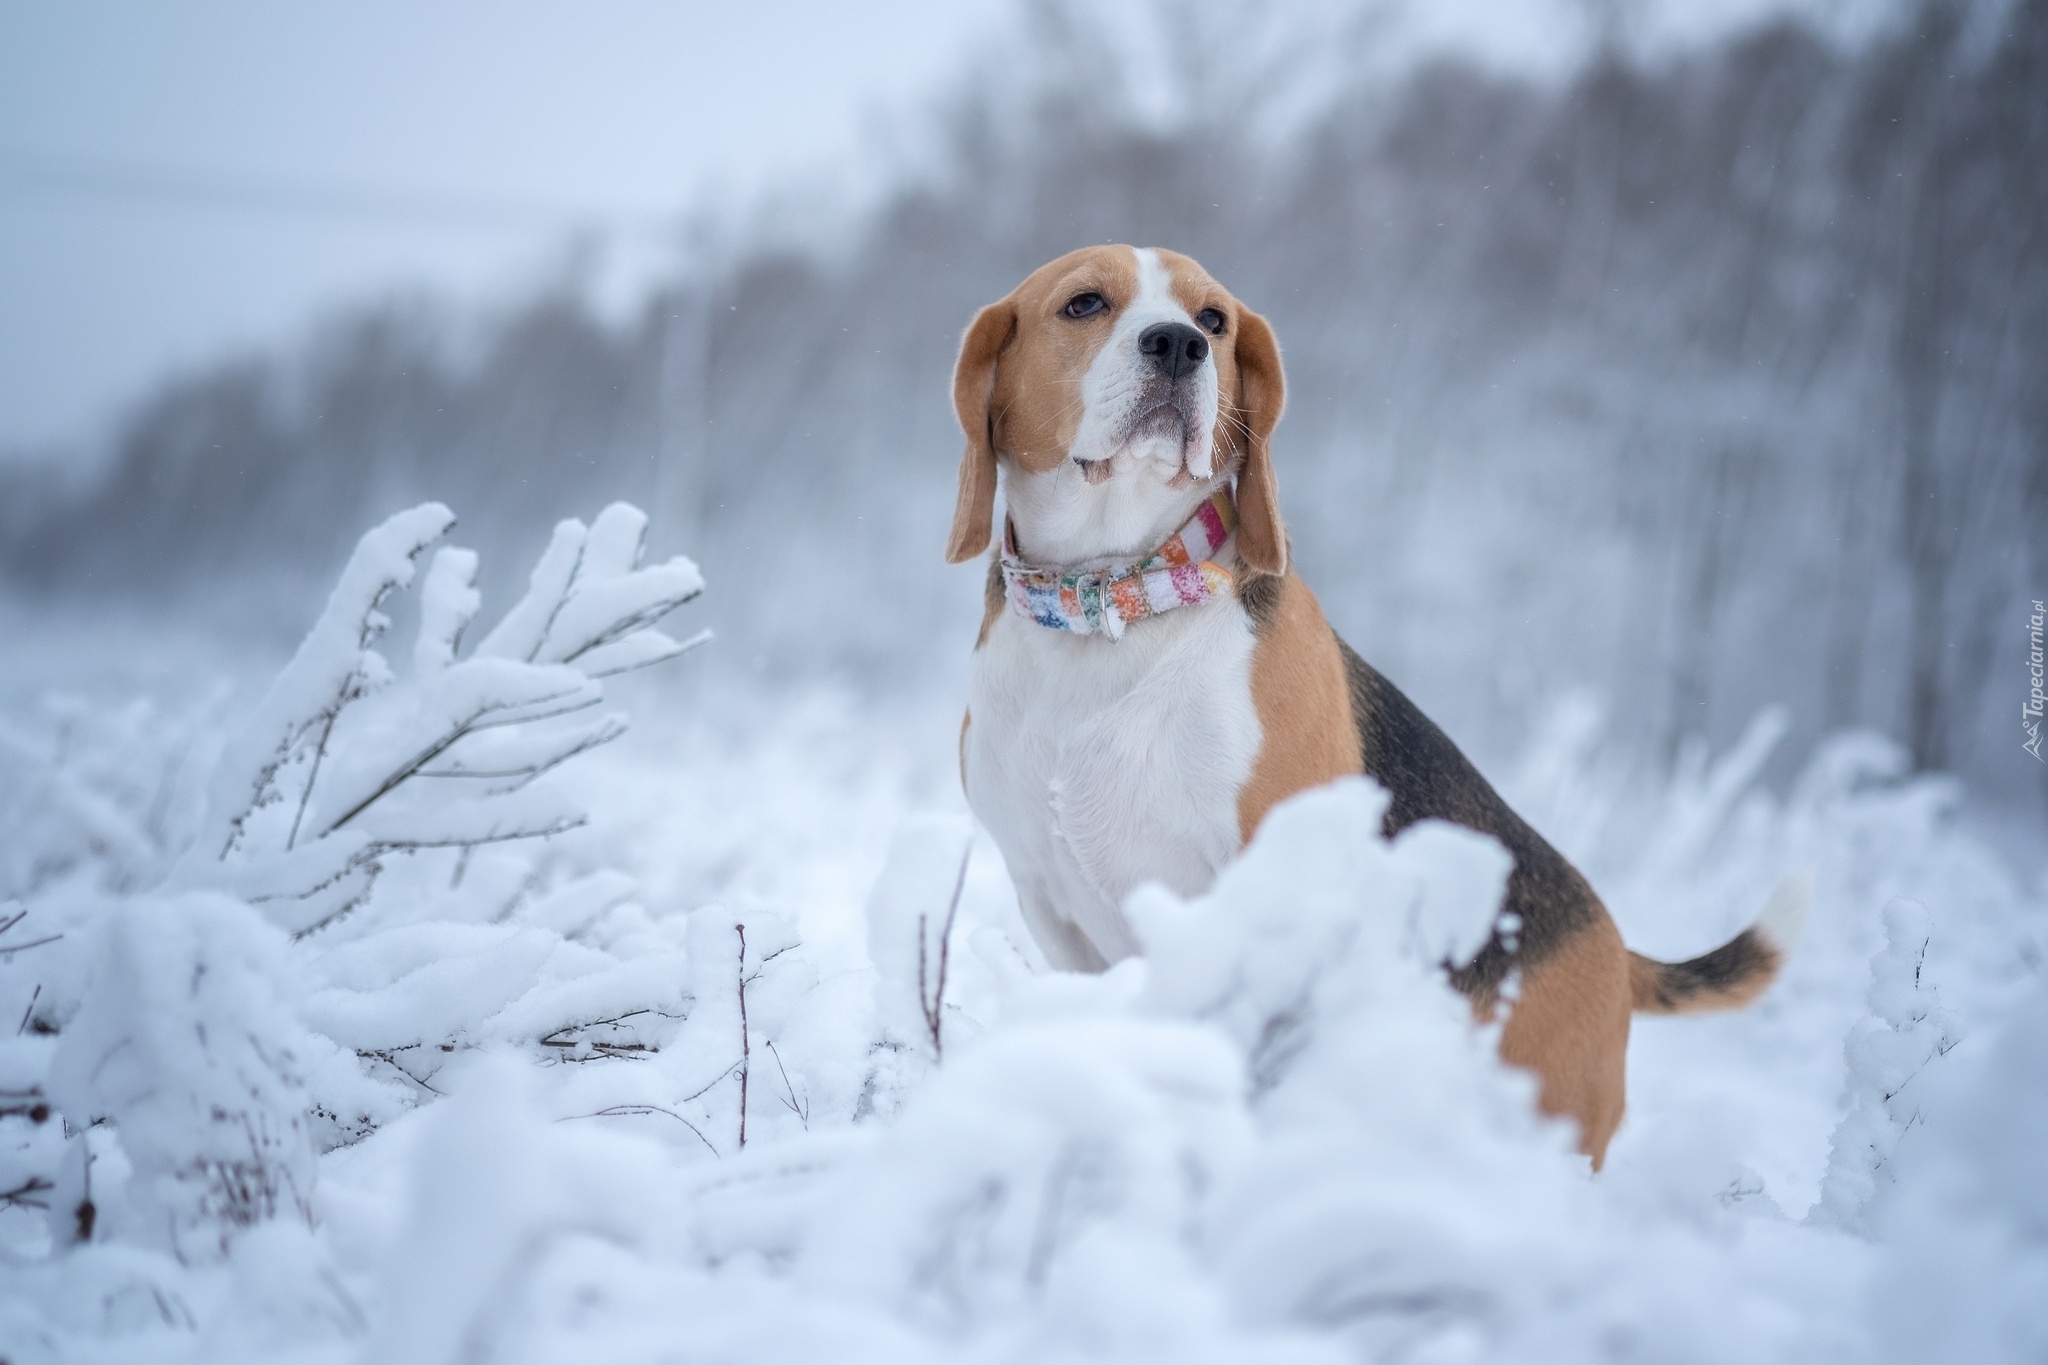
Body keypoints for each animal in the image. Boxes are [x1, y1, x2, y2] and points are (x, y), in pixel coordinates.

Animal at [946, 242, 1794, 1162]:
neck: (1112, 603)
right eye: (1084, 303)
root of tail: (1614, 943)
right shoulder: (1049, 896)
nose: (1178, 346)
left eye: (1215, 320)